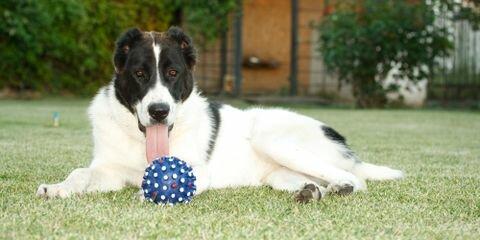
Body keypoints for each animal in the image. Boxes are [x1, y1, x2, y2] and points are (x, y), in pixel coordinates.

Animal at [37, 26, 404, 202]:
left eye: (172, 73)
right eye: (140, 74)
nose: (159, 112)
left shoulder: (198, 170)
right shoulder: (109, 170)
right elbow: (79, 173)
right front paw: (58, 188)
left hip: (273, 139)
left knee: (354, 179)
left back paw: (341, 187)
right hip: (280, 174)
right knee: (316, 181)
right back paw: (312, 192)